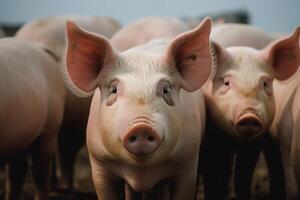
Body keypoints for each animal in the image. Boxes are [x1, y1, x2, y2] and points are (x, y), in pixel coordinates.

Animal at [63, 18, 213, 199]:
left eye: (166, 90)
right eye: (114, 90)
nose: (141, 126)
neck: (141, 172)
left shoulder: (187, 161)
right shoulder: (99, 164)